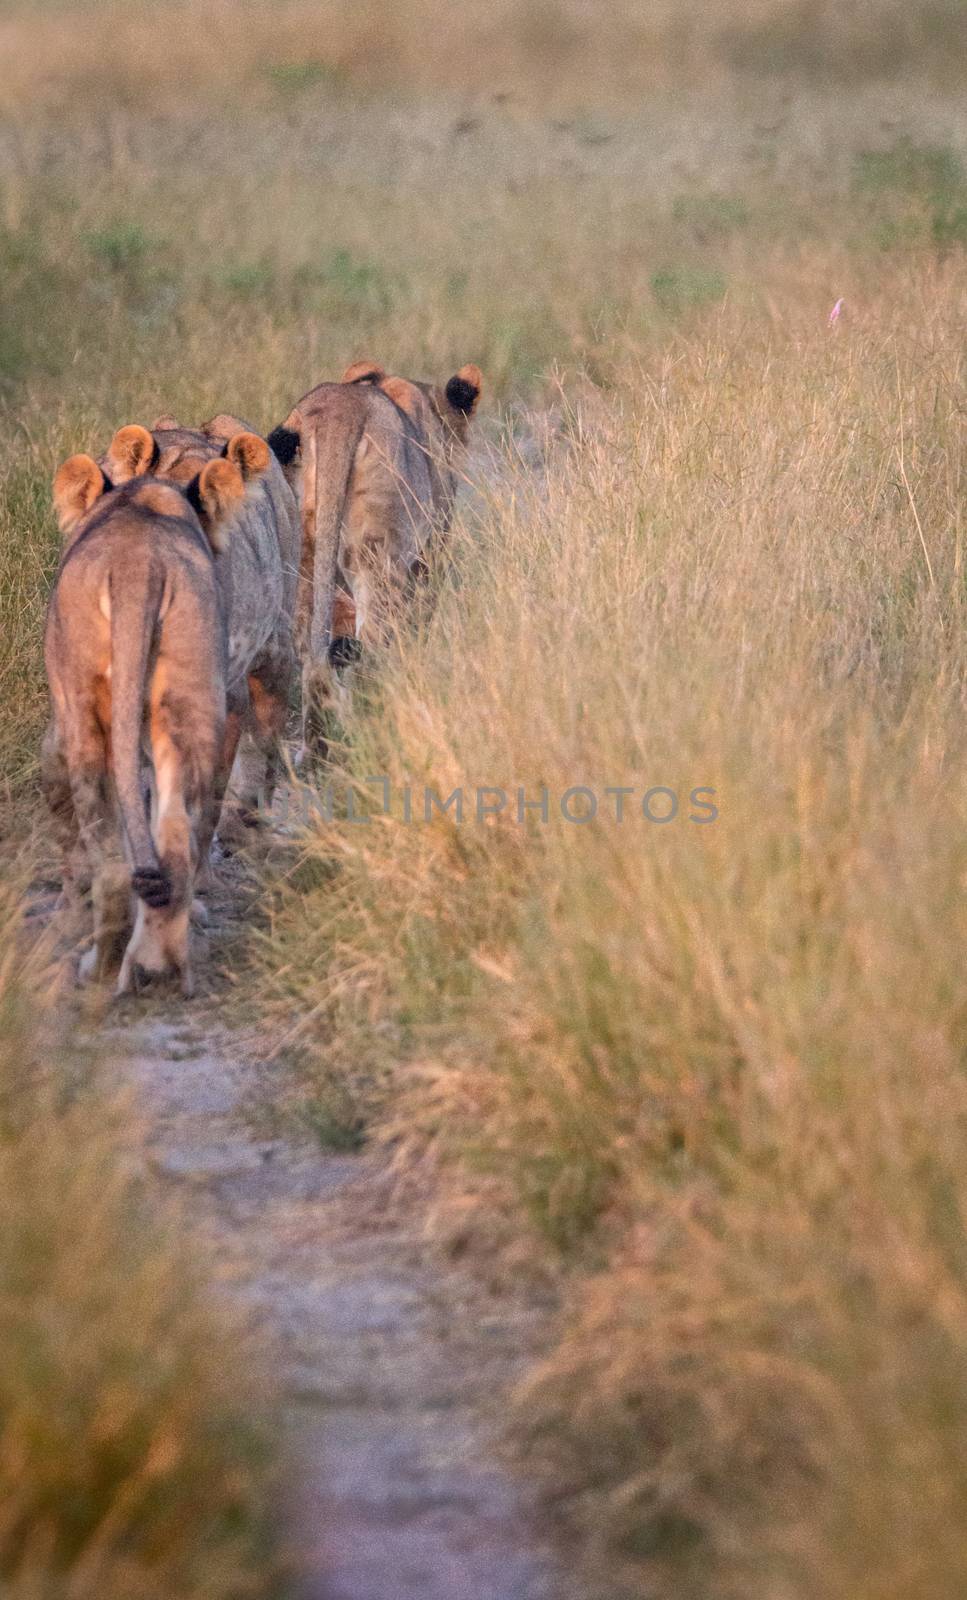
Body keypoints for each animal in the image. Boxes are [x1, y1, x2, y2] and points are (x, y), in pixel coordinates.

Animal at [42, 451, 249, 992]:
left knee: (111, 861)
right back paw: (162, 969)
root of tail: (142, 562)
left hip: (83, 713)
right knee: (176, 838)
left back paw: (101, 968)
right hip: (191, 694)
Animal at [265, 363, 480, 748]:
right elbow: (416, 625)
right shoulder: (430, 553)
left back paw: (321, 744)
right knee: (371, 643)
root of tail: (336, 414)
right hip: (377, 551)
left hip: (304, 553)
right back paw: (375, 721)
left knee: (311, 651)